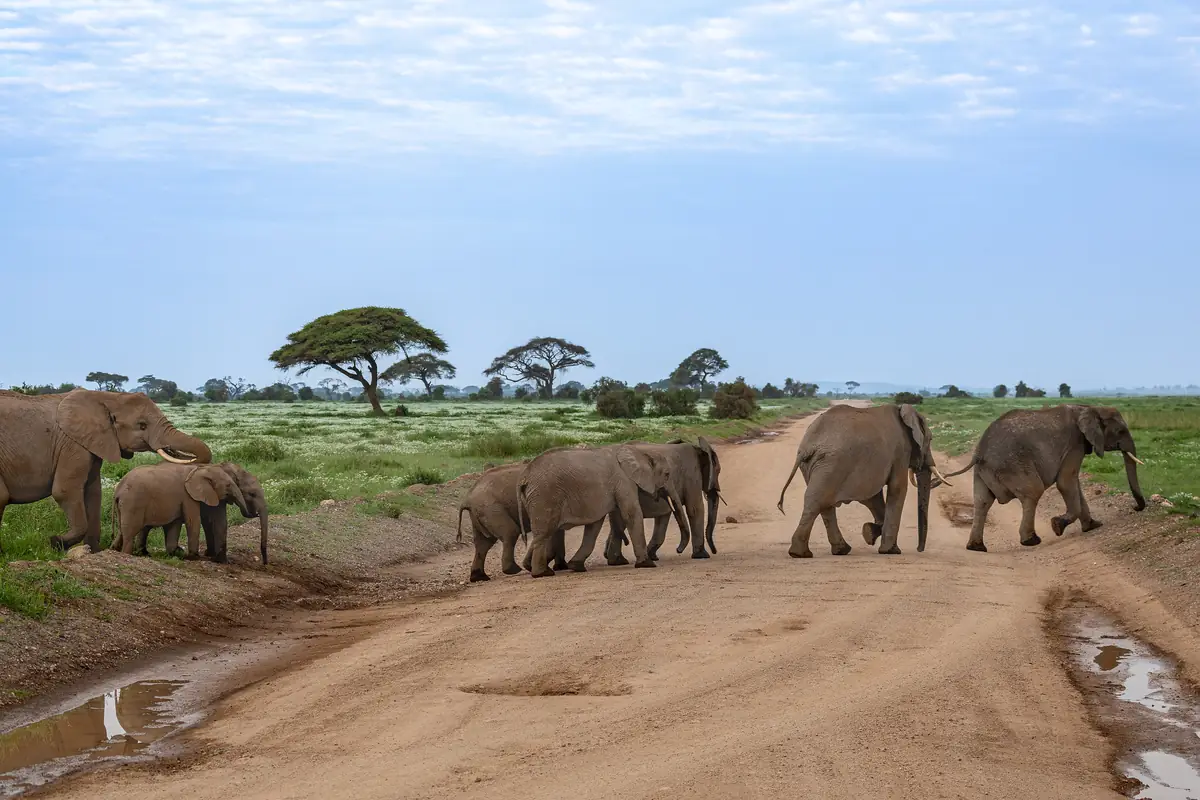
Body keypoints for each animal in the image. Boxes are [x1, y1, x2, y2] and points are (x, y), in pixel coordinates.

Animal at [0, 388, 211, 554]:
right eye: (142, 425)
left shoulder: (93, 444)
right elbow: (65, 491)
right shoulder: (72, 444)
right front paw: (56, 543)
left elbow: (93, 491)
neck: (107, 397)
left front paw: (94, 551)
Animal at [111, 463, 251, 560]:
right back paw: (126, 553)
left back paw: (114, 550)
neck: (200, 469)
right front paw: (194, 557)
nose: (249, 513)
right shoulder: (188, 496)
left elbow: (175, 524)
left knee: (121, 531)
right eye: (228, 485)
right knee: (129, 533)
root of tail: (118, 491)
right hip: (133, 503)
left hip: (125, 506)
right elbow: (193, 521)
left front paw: (177, 553)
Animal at [516, 444, 688, 577]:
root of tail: (524, 477)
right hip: (545, 496)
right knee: (545, 532)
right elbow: (632, 513)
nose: (678, 550)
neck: (640, 452)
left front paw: (576, 566)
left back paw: (531, 568)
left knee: (544, 532)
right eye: (667, 474)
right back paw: (542, 573)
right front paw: (647, 564)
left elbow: (594, 525)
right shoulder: (624, 480)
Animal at [776, 404, 949, 557]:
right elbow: (897, 488)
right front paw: (891, 550)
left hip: (816, 465)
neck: (903, 411)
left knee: (821, 503)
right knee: (819, 501)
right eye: (930, 439)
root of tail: (807, 447)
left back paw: (835, 551)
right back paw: (803, 553)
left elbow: (873, 497)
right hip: (833, 464)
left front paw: (870, 532)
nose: (920, 549)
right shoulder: (901, 450)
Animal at [939, 404, 1146, 551]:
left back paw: (977, 547)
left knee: (982, 501)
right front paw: (1057, 526)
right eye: (1120, 431)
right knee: (1033, 492)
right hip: (1013, 465)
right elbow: (1066, 482)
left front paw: (1093, 526)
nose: (1136, 507)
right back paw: (1031, 540)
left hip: (984, 471)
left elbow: (1074, 483)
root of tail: (979, 453)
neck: (1090, 408)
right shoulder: (1075, 444)